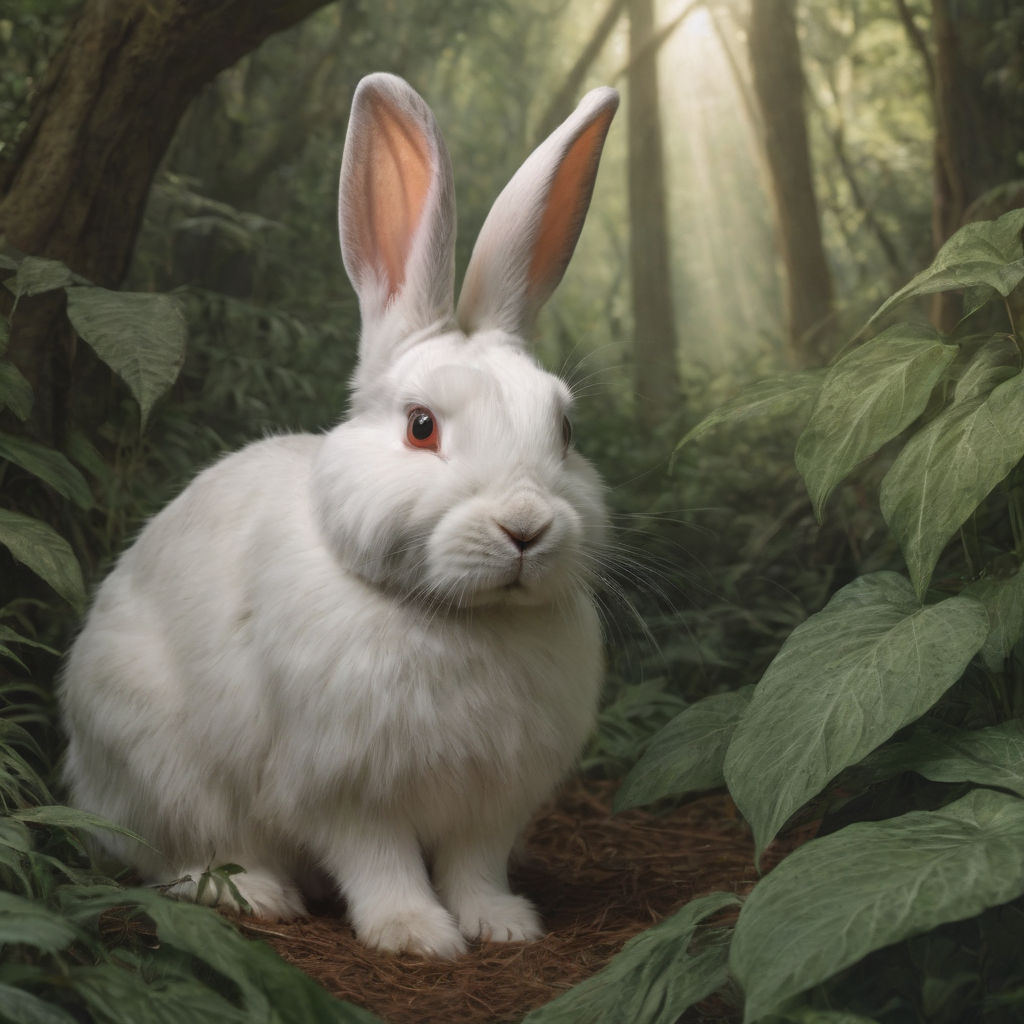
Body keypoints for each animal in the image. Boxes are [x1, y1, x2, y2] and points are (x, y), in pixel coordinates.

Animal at [59, 72, 618, 958]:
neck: (456, 619)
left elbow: (474, 865)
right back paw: (258, 894)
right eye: (420, 426)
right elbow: (380, 861)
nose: (526, 527)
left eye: (564, 430)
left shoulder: (492, 802)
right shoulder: (344, 789)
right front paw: (416, 934)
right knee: (178, 855)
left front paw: (501, 924)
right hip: (159, 761)